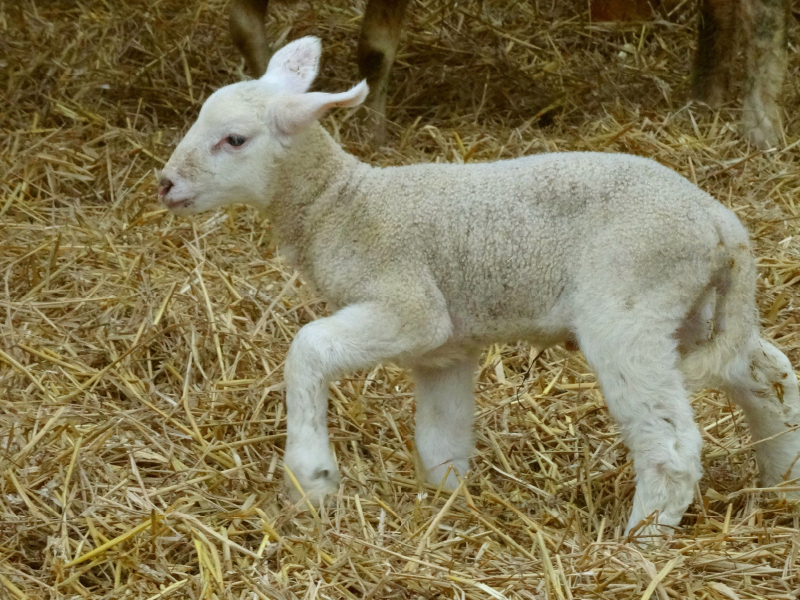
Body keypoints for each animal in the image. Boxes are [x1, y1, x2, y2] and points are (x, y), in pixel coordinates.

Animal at [158, 36, 800, 536]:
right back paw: (781, 480)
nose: (164, 184)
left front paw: (311, 478)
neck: (341, 204)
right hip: (695, 310)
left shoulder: (411, 305)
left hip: (631, 307)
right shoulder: (445, 347)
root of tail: (720, 222)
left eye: (234, 140)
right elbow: (440, 441)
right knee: (766, 372)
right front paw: (447, 506)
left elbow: (307, 347)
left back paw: (638, 539)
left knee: (672, 444)